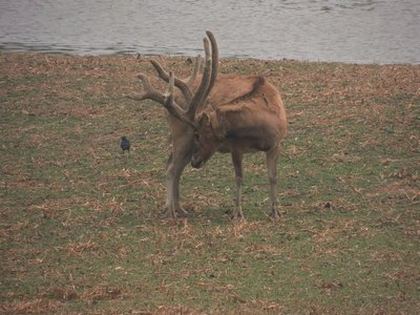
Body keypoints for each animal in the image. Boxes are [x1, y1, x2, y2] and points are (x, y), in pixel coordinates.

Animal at [130, 31, 288, 220]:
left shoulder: (276, 144)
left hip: (186, 143)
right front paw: (237, 213)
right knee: (171, 168)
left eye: (199, 134)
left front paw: (276, 212)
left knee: (176, 167)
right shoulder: (236, 147)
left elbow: (273, 176)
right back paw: (170, 210)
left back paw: (180, 208)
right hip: (181, 135)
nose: (196, 161)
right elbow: (239, 177)